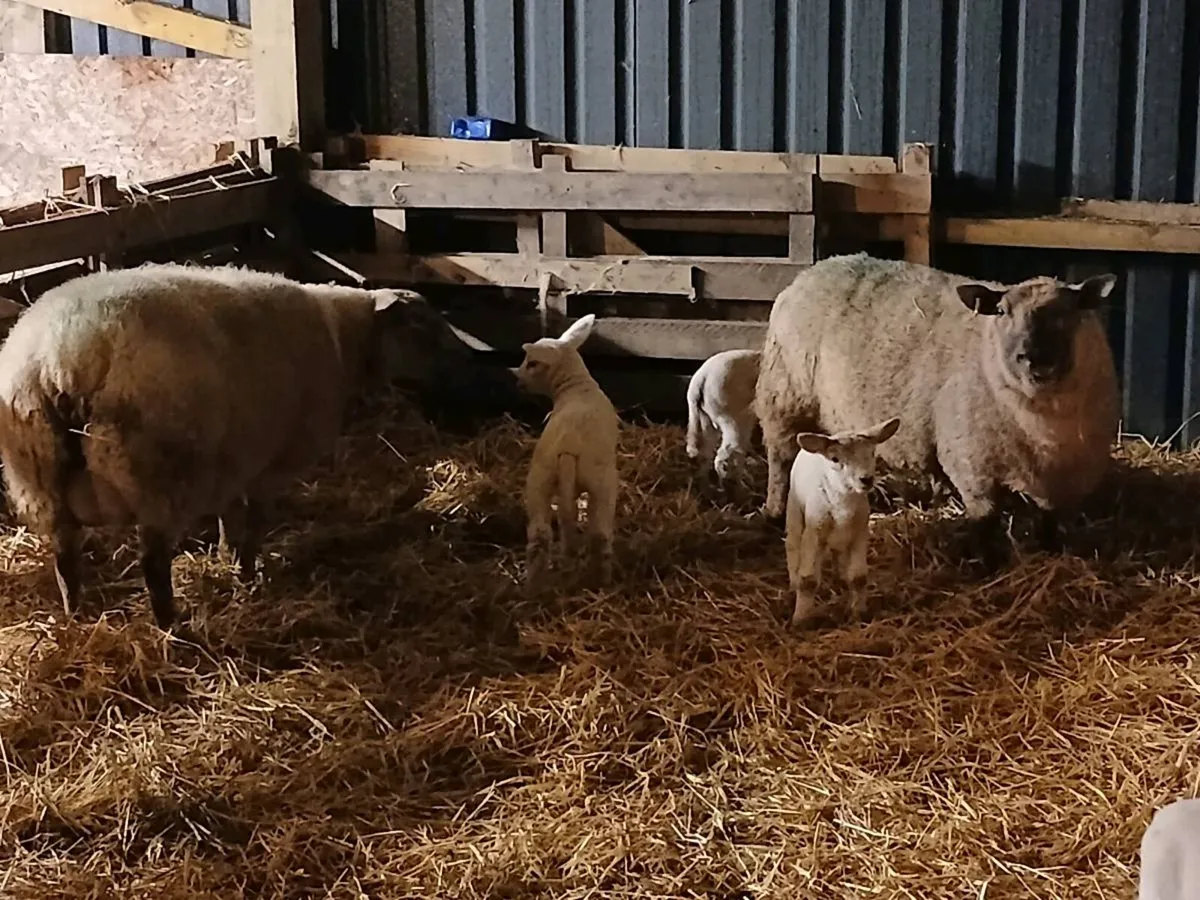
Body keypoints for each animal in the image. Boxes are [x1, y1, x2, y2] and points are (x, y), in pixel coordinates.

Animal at [0, 261, 498, 629]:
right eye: (422, 327)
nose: (474, 359)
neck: (344, 339)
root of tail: (59, 360)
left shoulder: (235, 455)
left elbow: (230, 513)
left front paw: (226, 554)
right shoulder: (271, 461)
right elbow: (256, 522)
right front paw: (248, 574)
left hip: (40, 478)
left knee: (66, 558)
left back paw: (77, 617)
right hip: (157, 476)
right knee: (153, 566)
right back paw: (171, 628)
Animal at [515, 314, 620, 588]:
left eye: (531, 363)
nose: (518, 382)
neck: (576, 385)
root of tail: (568, 445)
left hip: (539, 478)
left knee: (540, 534)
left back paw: (532, 586)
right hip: (603, 481)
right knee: (599, 535)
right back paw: (603, 581)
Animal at [685, 348, 760, 491]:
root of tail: (701, 376)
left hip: (706, 418)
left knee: (708, 453)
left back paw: (706, 484)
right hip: (730, 419)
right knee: (724, 455)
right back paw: (732, 486)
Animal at [755, 252, 1119, 564]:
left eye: (1069, 312)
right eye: (1002, 311)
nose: (1034, 358)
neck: (1043, 428)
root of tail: (816, 268)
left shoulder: (1066, 480)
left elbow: (1051, 522)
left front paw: (1053, 554)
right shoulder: (973, 464)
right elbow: (985, 520)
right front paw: (986, 563)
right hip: (786, 398)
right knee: (781, 459)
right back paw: (774, 513)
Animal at [786, 416, 899, 626]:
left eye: (872, 452)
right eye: (835, 459)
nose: (866, 479)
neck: (843, 505)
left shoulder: (859, 533)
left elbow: (858, 577)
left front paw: (858, 614)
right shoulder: (814, 533)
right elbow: (808, 580)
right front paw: (801, 620)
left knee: (837, 554)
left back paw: (838, 579)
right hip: (795, 510)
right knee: (792, 545)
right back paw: (792, 584)